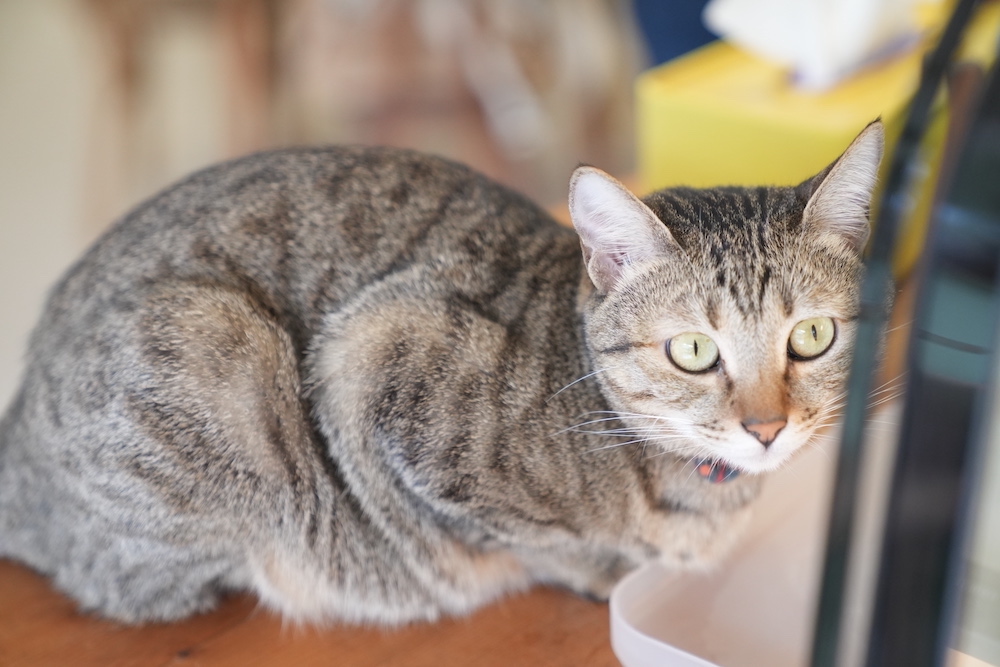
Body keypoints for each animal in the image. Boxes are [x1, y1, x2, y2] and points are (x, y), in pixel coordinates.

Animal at [0, 121, 884, 628]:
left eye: (812, 336)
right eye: (694, 351)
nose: (766, 427)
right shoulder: (374, 360)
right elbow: (532, 539)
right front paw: (602, 567)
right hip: (216, 342)